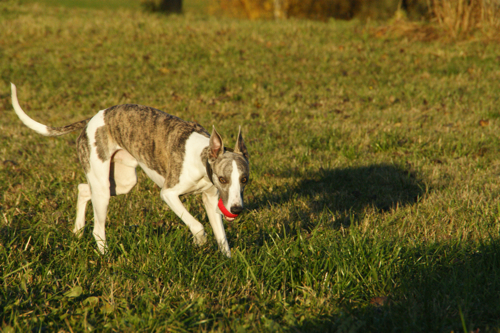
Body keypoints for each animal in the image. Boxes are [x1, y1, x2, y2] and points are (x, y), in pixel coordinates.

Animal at [9, 83, 248, 256]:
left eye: (244, 180)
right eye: (223, 179)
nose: (236, 209)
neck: (202, 155)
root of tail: (92, 119)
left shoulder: (211, 198)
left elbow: (221, 236)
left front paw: (226, 261)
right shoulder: (169, 193)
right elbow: (197, 225)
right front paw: (199, 241)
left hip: (120, 182)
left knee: (83, 189)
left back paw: (77, 232)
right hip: (104, 187)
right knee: (98, 228)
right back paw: (105, 257)